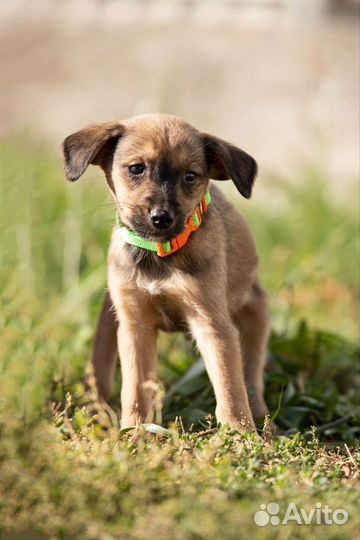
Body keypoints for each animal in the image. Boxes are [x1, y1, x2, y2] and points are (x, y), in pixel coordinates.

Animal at [62, 115, 270, 434]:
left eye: (191, 176)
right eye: (136, 168)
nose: (161, 218)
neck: (159, 255)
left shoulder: (212, 324)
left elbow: (230, 387)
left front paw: (240, 433)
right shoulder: (135, 327)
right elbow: (135, 389)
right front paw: (134, 432)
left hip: (256, 313)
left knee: (251, 375)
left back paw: (261, 419)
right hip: (110, 318)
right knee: (102, 371)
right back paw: (95, 411)